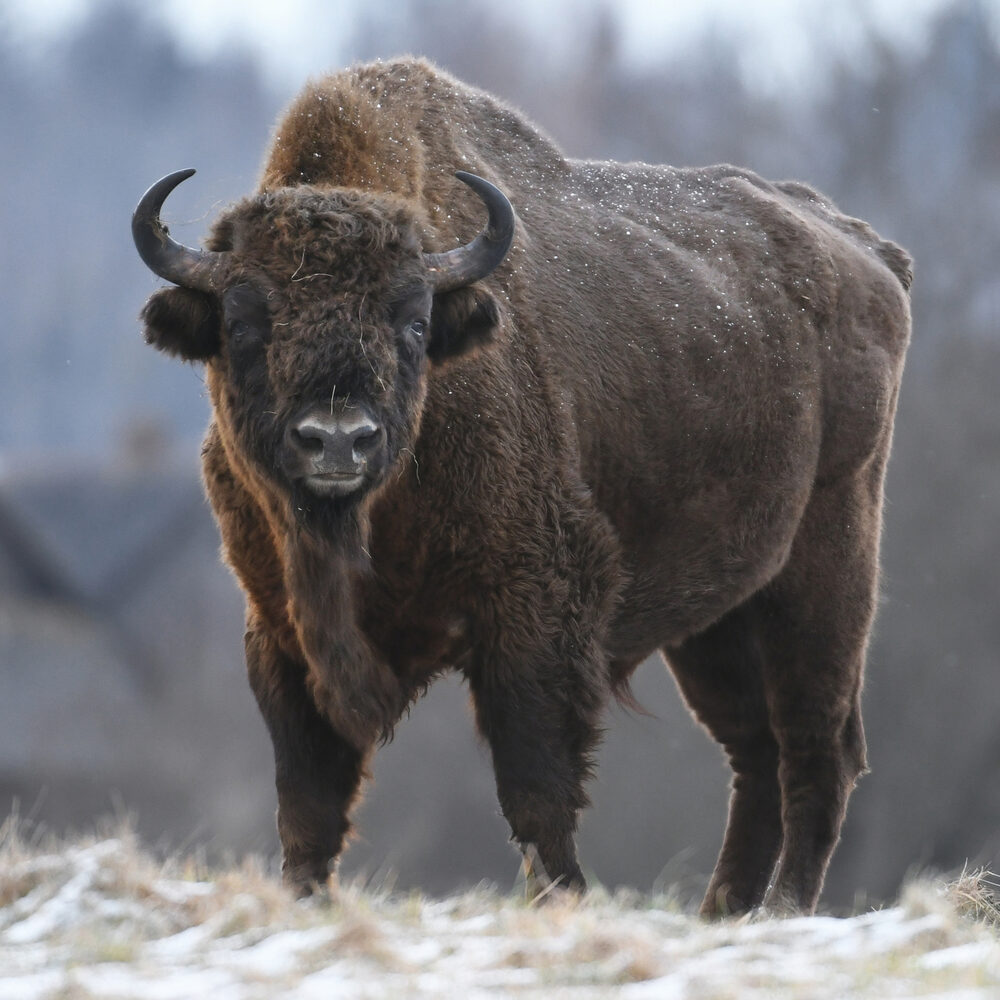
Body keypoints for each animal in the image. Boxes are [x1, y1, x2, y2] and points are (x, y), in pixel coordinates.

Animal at [133, 54, 916, 916]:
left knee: (817, 747)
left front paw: (566, 896)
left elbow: (536, 787)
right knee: (754, 754)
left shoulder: (535, 613)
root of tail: (869, 253)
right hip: (721, 618)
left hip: (827, 568)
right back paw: (724, 912)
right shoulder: (281, 631)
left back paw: (783, 907)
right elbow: (307, 803)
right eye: (243, 323)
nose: (338, 439)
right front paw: (305, 900)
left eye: (413, 321)